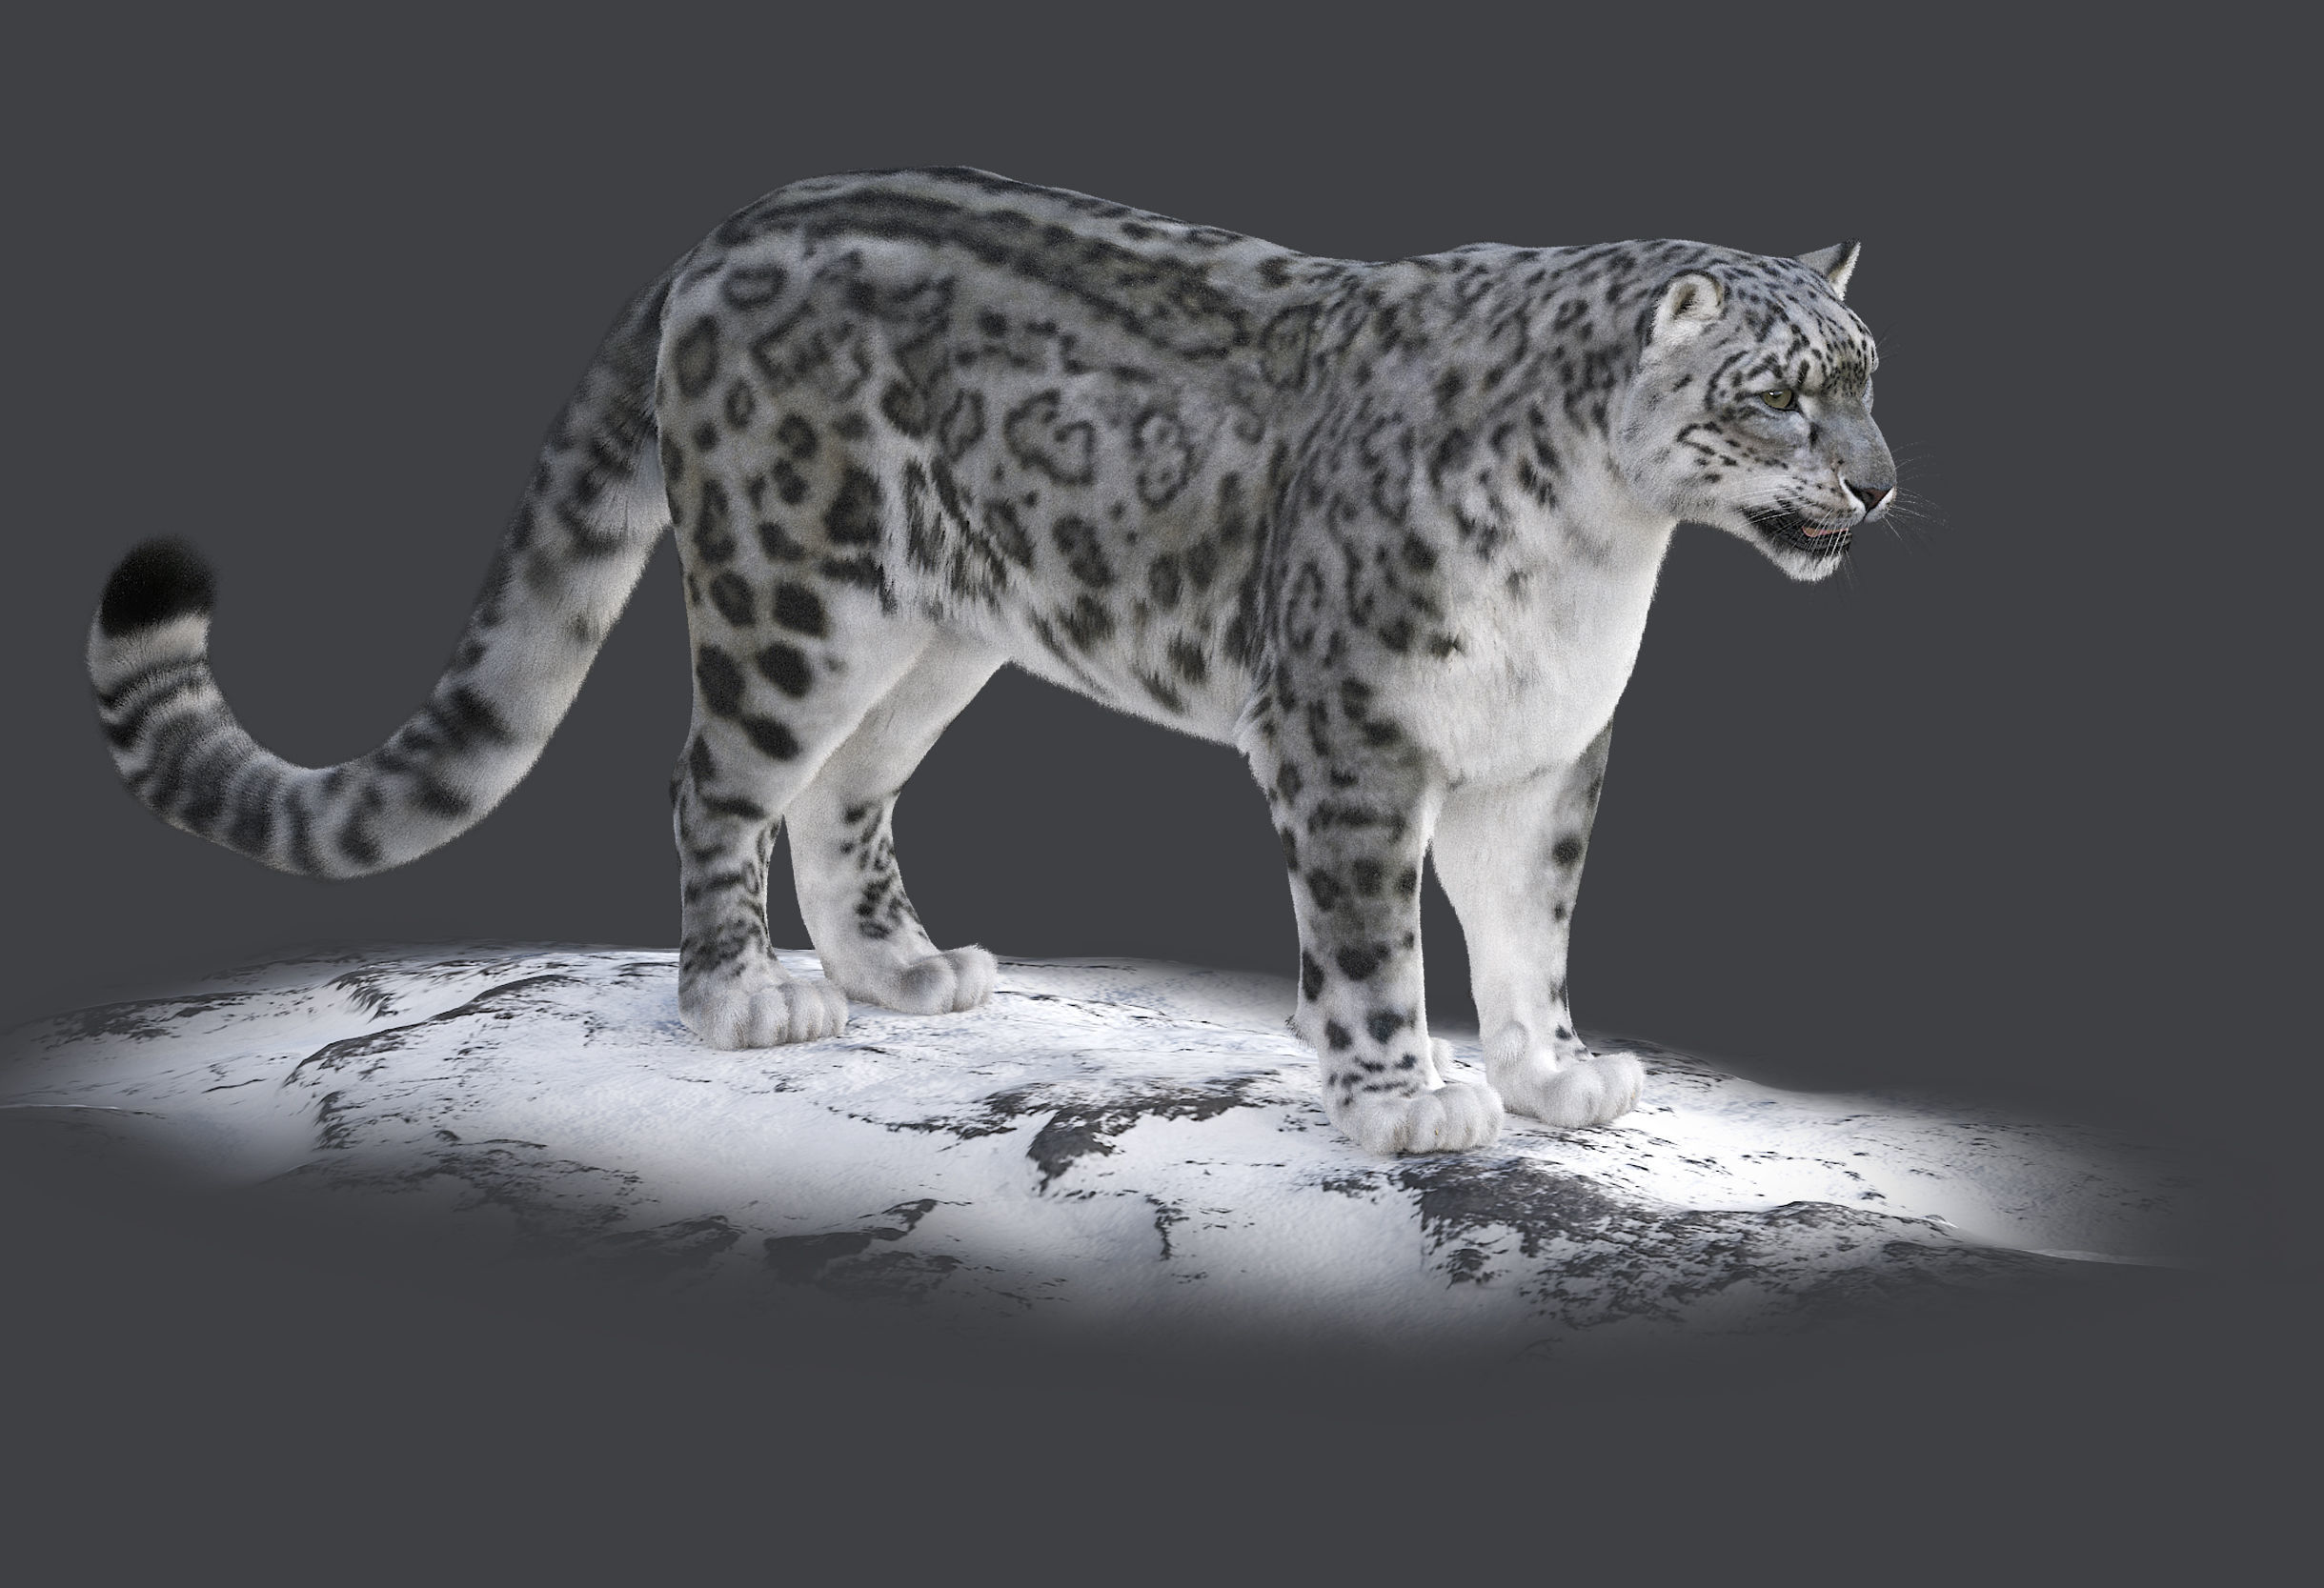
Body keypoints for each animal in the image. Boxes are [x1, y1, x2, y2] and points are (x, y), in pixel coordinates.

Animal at [86, 167, 1896, 1156]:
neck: (1599, 565)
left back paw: (902, 968)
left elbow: (1528, 927)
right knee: (712, 780)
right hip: (790, 598)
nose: (1876, 484)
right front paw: (1404, 1096)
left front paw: (1551, 1074)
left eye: (1869, 373)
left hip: (932, 636)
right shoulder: (1350, 740)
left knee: (842, 795)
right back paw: (743, 996)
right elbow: (1371, 944)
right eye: (1772, 396)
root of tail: (730, 226)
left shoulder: (1541, 754)